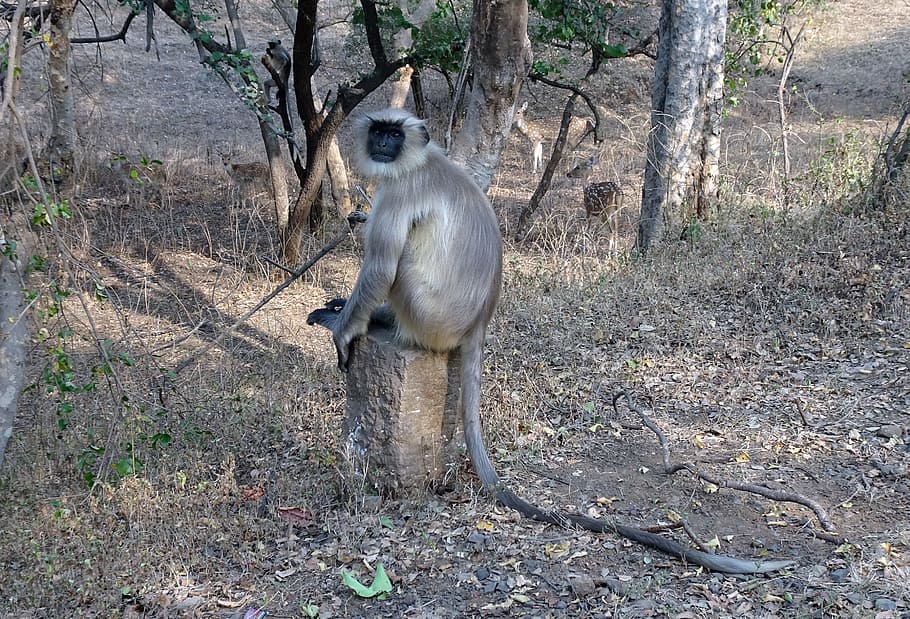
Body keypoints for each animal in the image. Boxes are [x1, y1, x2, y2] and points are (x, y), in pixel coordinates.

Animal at [307, 109, 793, 575]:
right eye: (379, 131)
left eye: (394, 134)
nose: (382, 144)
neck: (421, 161)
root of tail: (479, 321)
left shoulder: (400, 191)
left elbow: (380, 268)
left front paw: (344, 329)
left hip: (427, 316)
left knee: (397, 264)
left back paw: (375, 322)